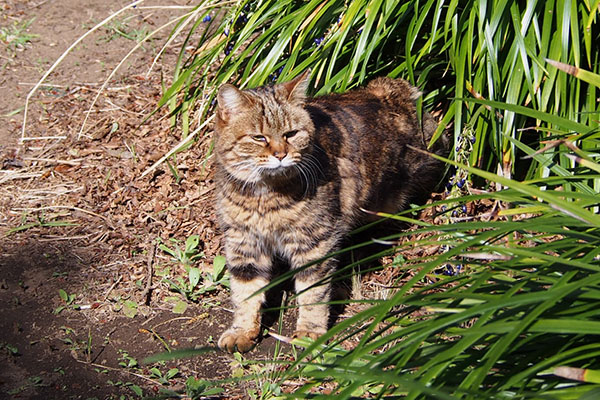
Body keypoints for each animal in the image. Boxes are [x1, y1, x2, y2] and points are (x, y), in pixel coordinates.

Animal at [213, 70, 442, 352]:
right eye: (259, 138)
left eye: (291, 134)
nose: (280, 154)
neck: (265, 197)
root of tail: (394, 90)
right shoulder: (243, 241)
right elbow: (245, 291)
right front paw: (242, 331)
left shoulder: (315, 241)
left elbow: (313, 292)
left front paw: (309, 332)